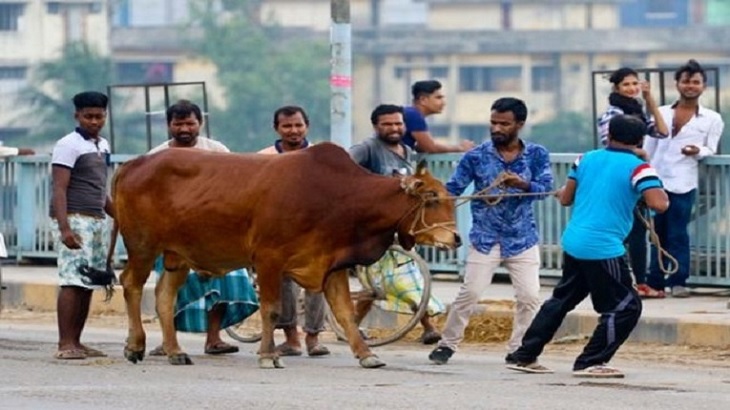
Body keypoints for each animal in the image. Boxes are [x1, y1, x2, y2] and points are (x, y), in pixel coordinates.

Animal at [111, 143, 458, 368]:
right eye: (432, 197)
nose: (455, 238)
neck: (340, 196)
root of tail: (134, 163)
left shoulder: (330, 266)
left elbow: (345, 314)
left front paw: (367, 355)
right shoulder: (268, 260)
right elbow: (272, 310)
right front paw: (268, 355)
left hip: (176, 256)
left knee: (164, 297)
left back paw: (174, 351)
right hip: (142, 247)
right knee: (130, 284)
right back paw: (135, 345)